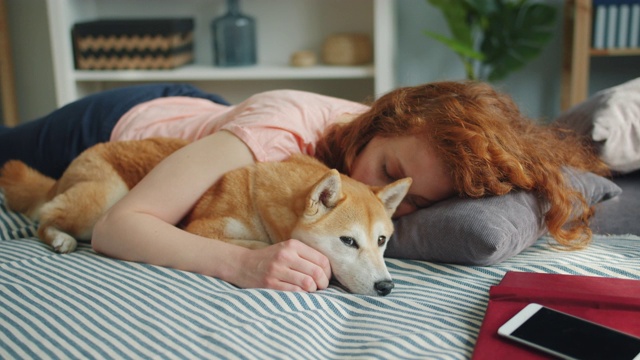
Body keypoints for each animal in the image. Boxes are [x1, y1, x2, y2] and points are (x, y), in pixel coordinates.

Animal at [0, 138, 410, 296]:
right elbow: (253, 243)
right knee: (45, 216)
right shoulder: (202, 227)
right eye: (348, 241)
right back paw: (60, 237)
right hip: (105, 198)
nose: (386, 286)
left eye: (381, 241)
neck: (258, 200)